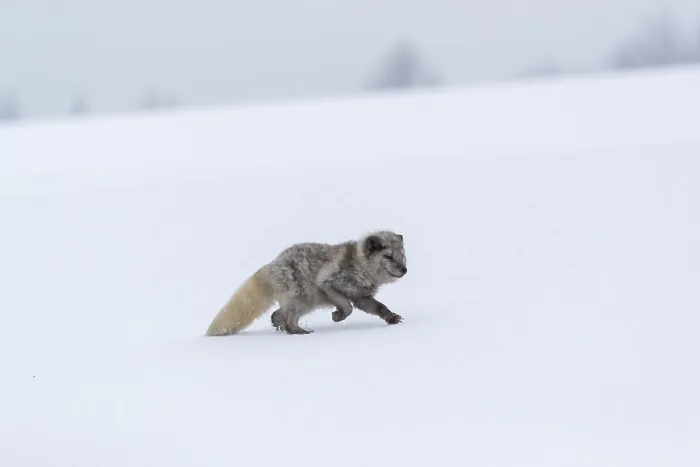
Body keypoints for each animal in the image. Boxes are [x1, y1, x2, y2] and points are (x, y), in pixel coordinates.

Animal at [205, 230, 408, 336]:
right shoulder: (327, 283)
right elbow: (347, 306)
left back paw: (280, 325)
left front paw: (392, 318)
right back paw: (298, 331)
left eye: (403, 256)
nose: (405, 270)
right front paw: (337, 315)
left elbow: (379, 307)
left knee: (277, 314)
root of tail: (272, 266)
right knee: (288, 318)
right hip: (304, 299)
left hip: (300, 302)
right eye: (388, 256)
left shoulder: (361, 297)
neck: (360, 266)